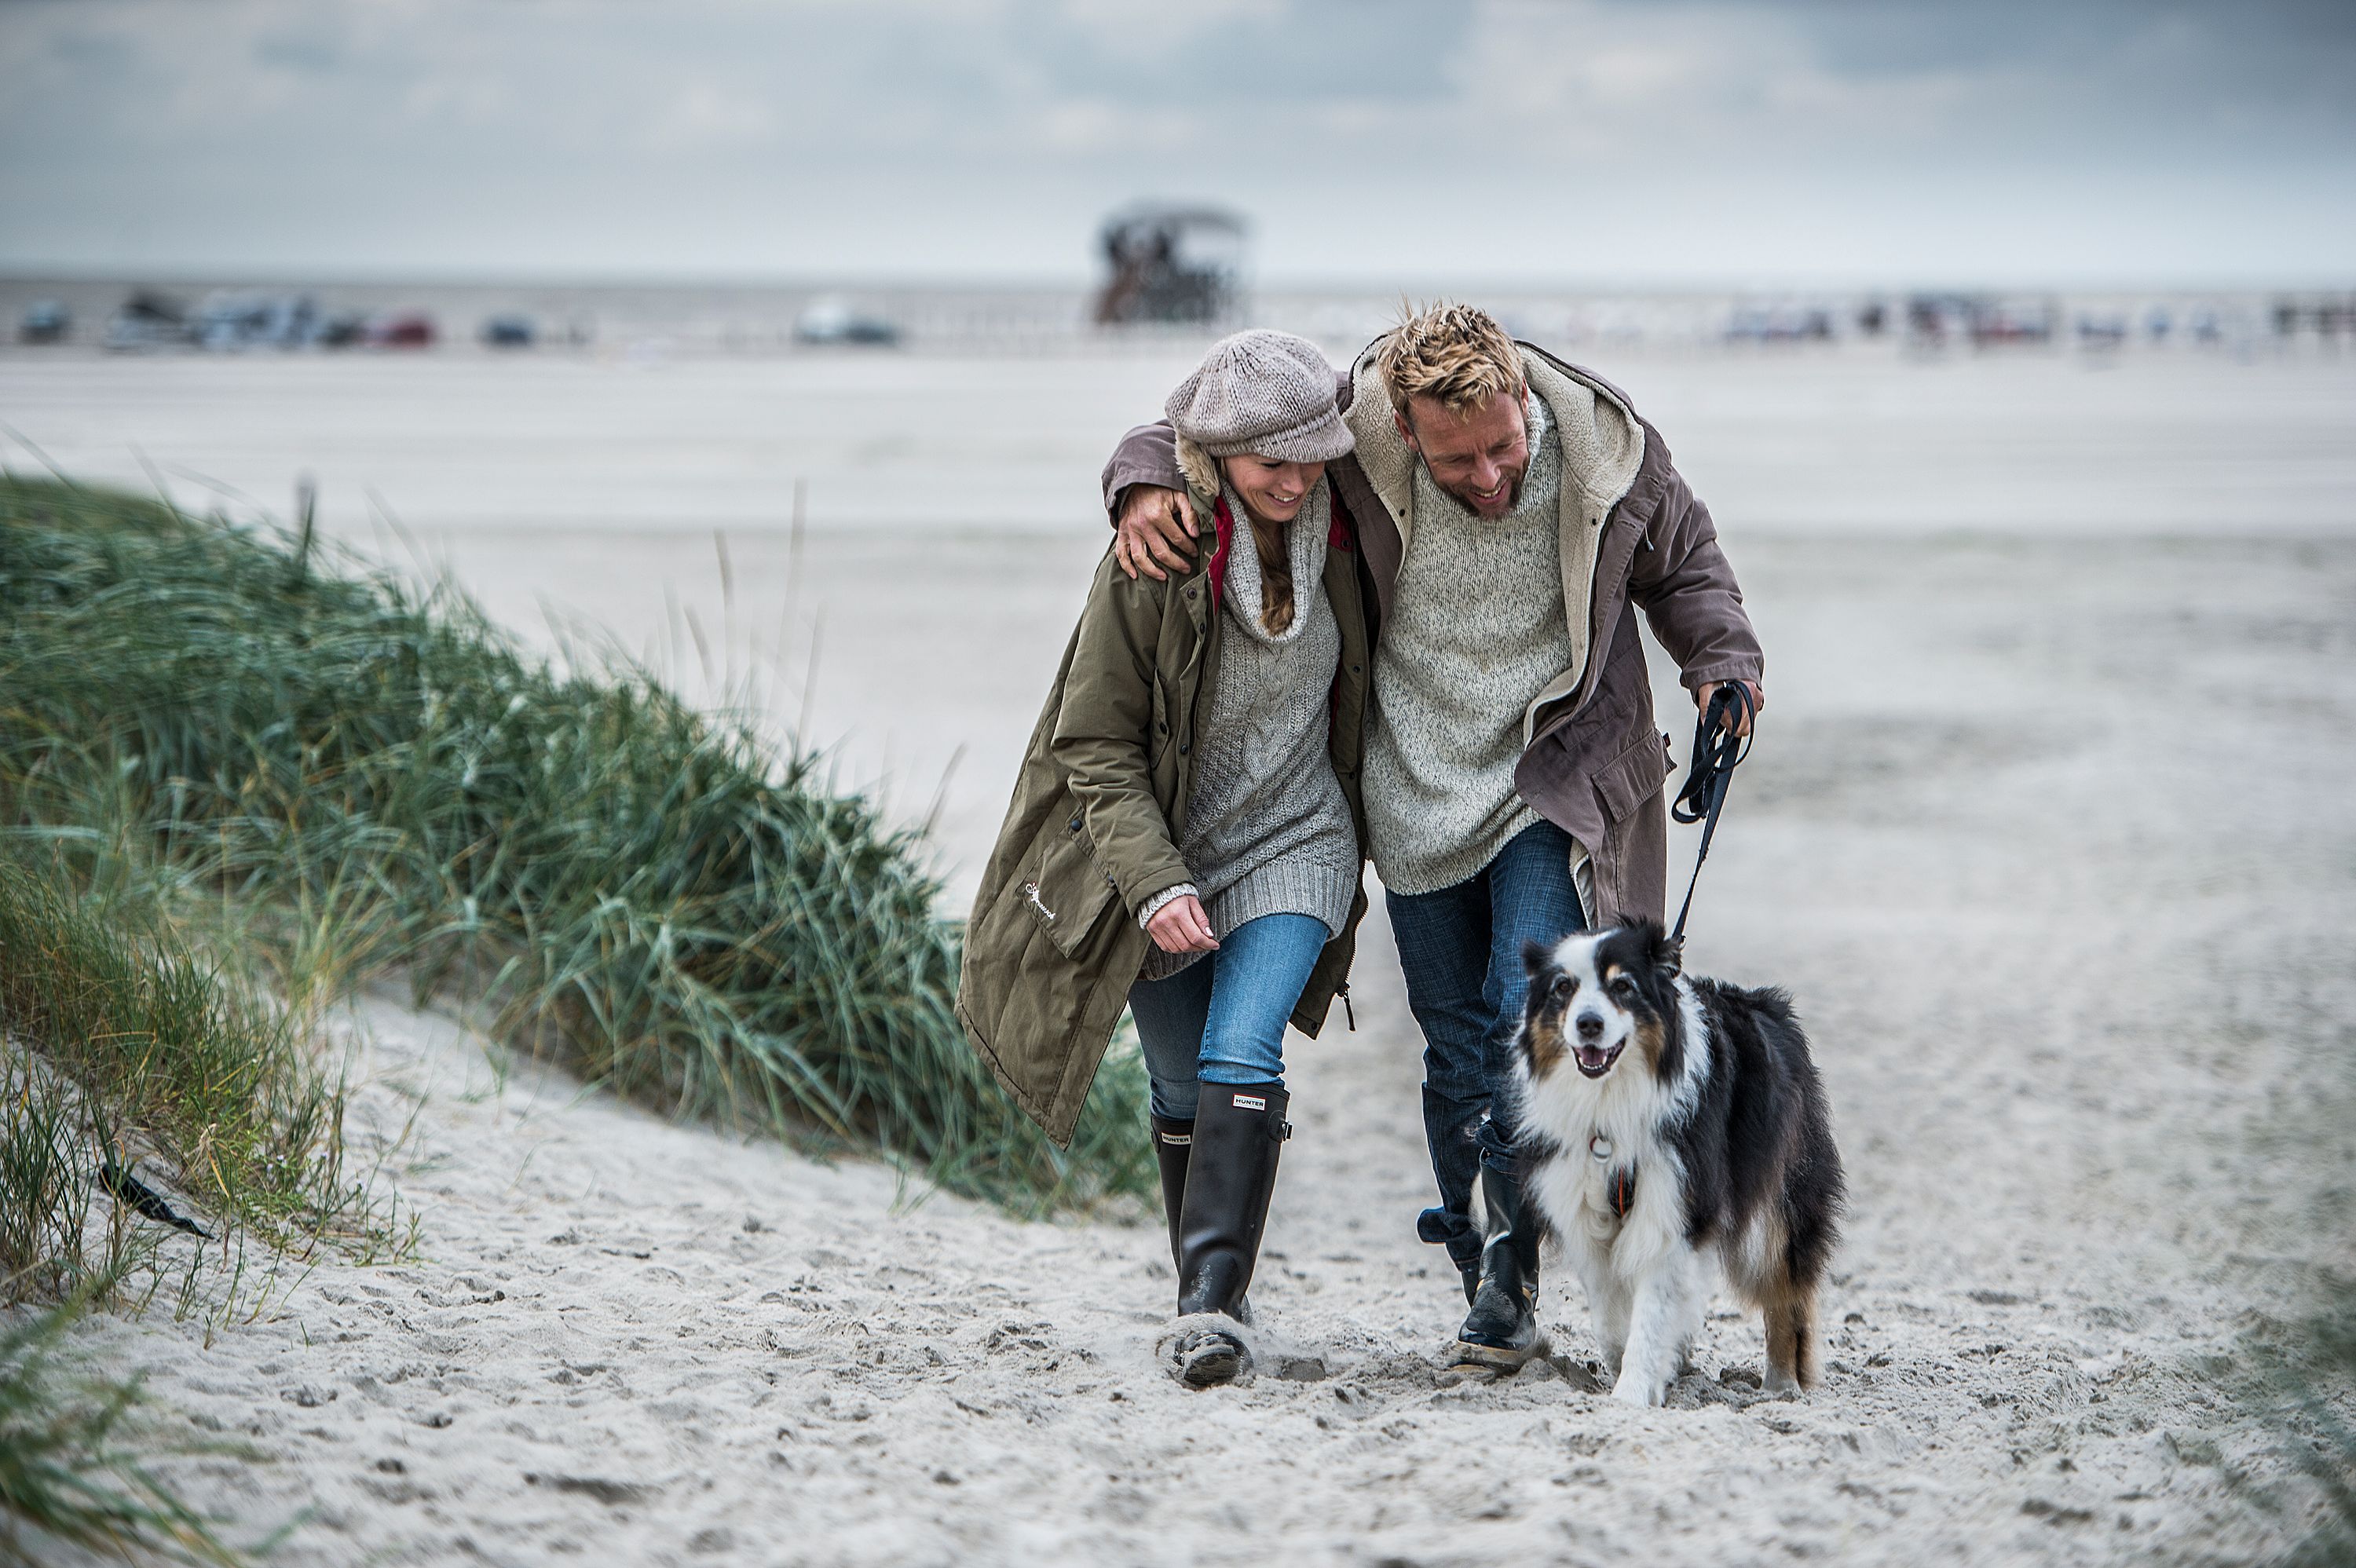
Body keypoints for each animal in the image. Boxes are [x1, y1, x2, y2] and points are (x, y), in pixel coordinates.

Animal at [1508, 918, 1838, 1403]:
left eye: (1623, 986)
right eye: (1563, 988)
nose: (1588, 1024)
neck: (1612, 1099)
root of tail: (1768, 1003)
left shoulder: (1675, 1204)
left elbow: (1652, 1315)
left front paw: (1630, 1396)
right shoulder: (1585, 1212)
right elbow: (1610, 1314)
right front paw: (1633, 1366)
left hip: (1777, 1202)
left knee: (1785, 1290)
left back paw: (1781, 1386)